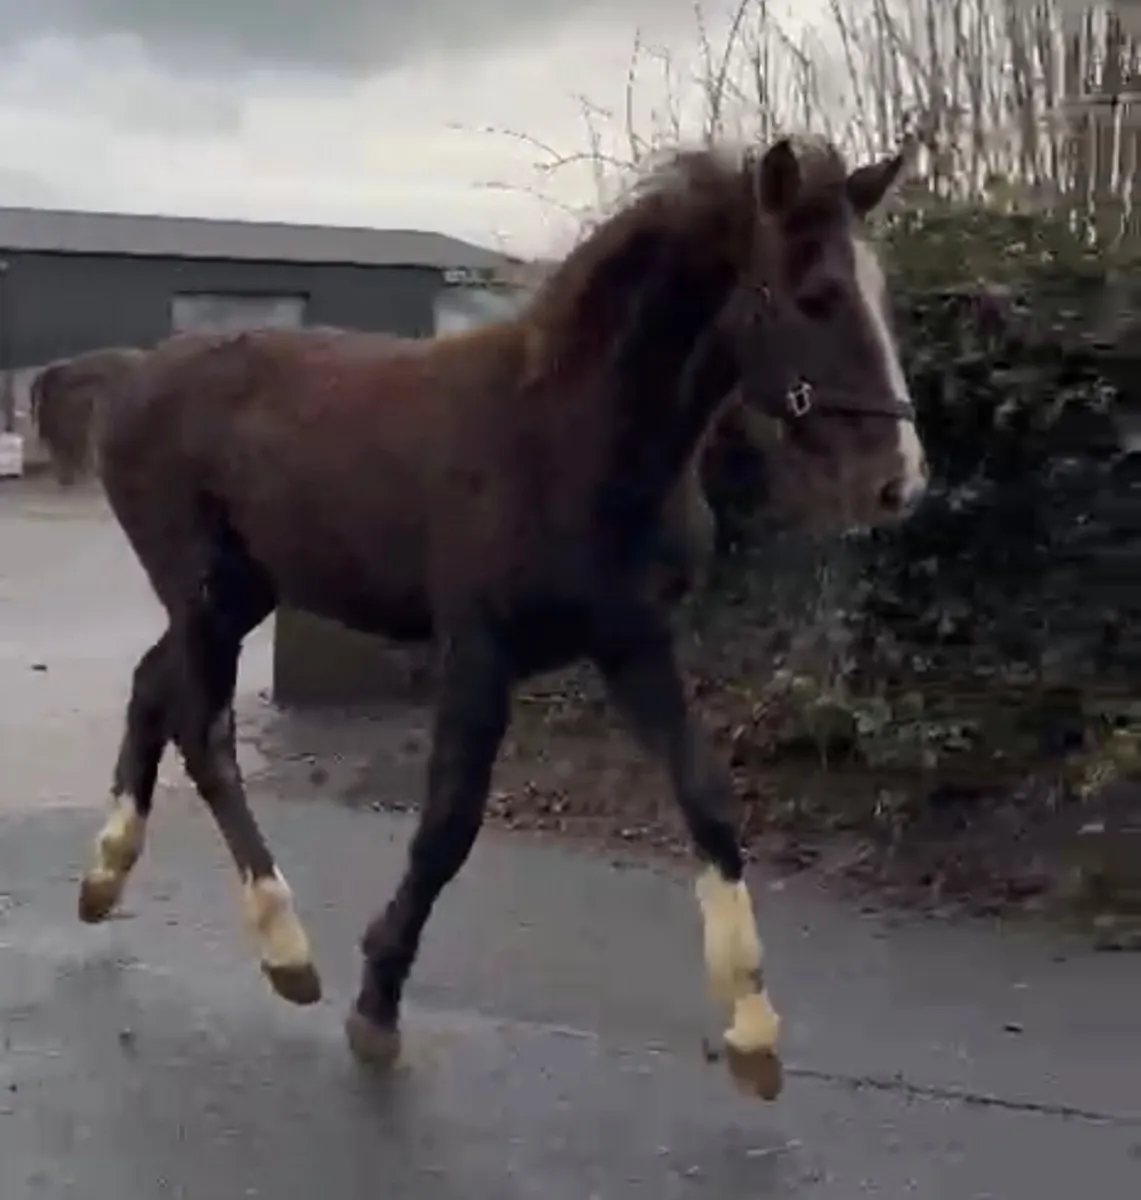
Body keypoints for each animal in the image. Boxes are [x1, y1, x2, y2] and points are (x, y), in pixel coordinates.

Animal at [37, 135, 927, 1102]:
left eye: (879, 290)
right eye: (815, 295)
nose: (900, 480)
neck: (567, 441)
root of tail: (131, 371)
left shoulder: (633, 640)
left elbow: (707, 801)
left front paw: (753, 1031)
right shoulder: (477, 646)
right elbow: (449, 824)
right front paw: (376, 1004)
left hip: (239, 593)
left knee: (152, 687)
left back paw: (104, 879)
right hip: (202, 588)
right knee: (204, 734)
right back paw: (285, 951)